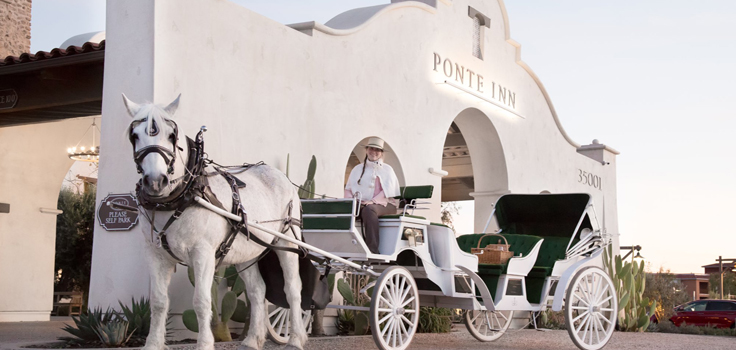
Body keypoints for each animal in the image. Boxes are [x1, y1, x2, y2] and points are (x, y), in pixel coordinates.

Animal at [122, 94, 306, 350]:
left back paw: (296, 338)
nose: (155, 181)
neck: (181, 195)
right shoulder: (155, 254)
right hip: (246, 251)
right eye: (135, 135)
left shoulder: (203, 253)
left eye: (171, 135)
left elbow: (201, 301)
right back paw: (252, 339)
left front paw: (204, 343)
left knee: (292, 290)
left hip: (286, 242)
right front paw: (153, 344)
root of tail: (282, 176)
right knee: (257, 291)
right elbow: (158, 302)